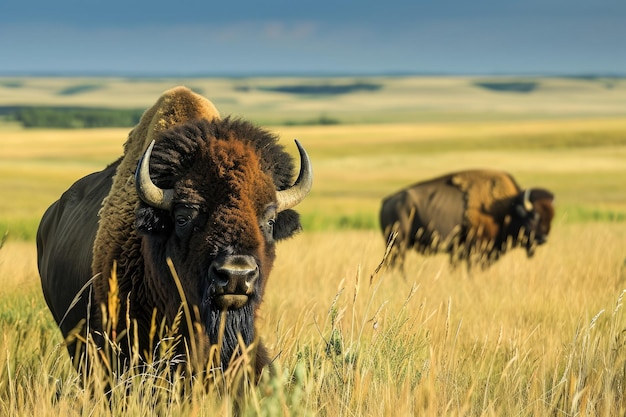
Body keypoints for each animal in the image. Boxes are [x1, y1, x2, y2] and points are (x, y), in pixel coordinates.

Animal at [378, 169, 552, 270]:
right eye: (533, 216)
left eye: (551, 217)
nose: (543, 239)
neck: (507, 208)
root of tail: (387, 201)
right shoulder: (474, 250)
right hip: (398, 244)